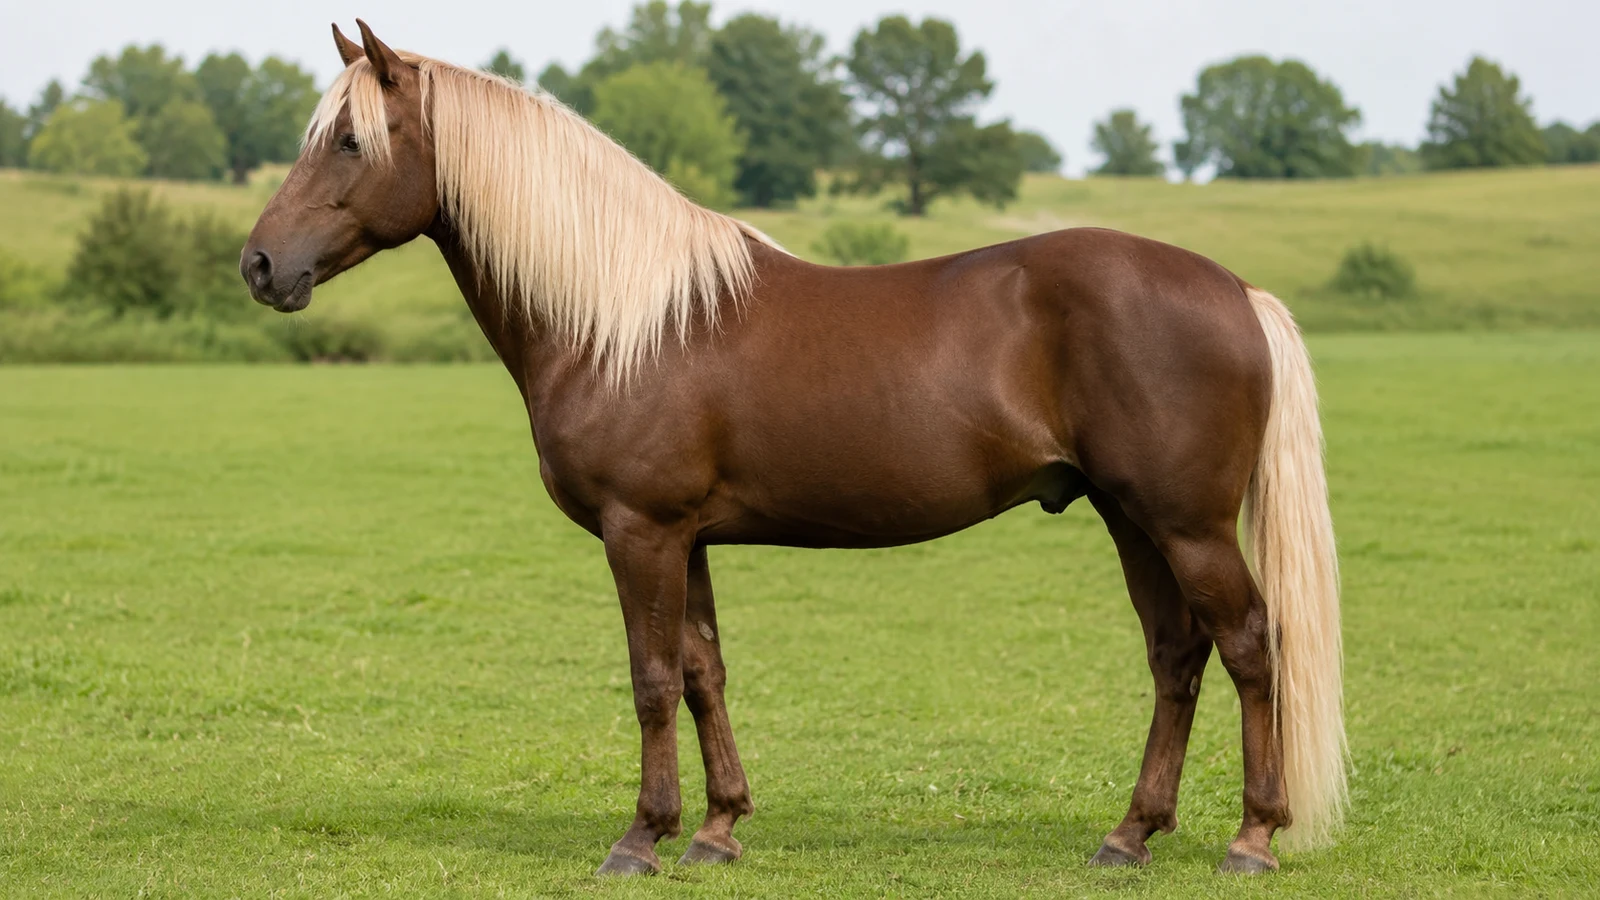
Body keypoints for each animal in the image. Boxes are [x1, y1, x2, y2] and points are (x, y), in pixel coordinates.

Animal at [241, 20, 1346, 877]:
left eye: (350, 141)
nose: (259, 265)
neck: (623, 319)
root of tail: (1235, 290)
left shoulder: (640, 531)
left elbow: (651, 678)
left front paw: (639, 839)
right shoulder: (683, 538)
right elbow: (703, 671)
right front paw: (717, 830)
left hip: (1184, 522)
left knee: (1249, 645)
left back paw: (1251, 838)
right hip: (1131, 518)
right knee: (1176, 655)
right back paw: (1130, 836)